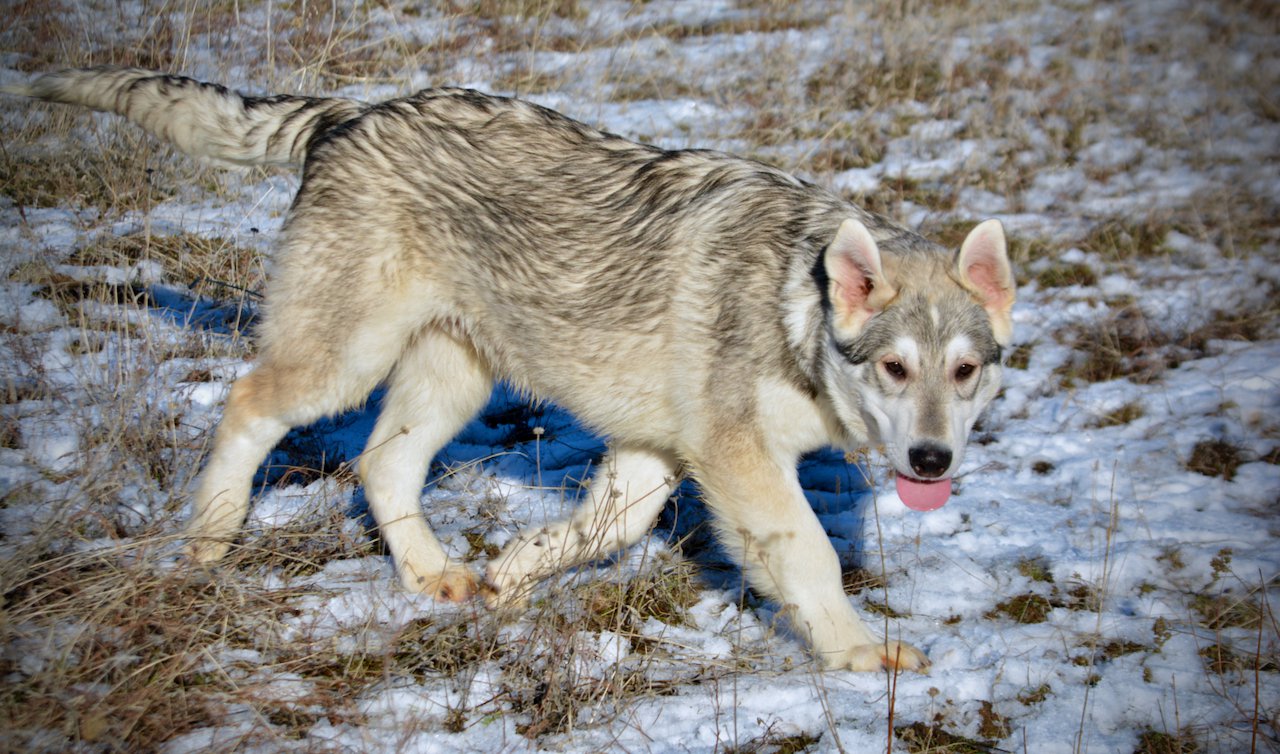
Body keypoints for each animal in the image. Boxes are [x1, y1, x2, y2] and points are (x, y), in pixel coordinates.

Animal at [5, 69, 1013, 670]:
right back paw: (211, 540)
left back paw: (435, 579)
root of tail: (354, 110)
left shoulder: (660, 454)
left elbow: (597, 531)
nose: (931, 462)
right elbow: (808, 555)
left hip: (450, 383)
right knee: (251, 405)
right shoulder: (738, 460)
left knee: (380, 465)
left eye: (965, 373)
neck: (796, 305)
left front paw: (513, 577)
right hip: (343, 363)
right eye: (894, 369)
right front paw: (860, 656)